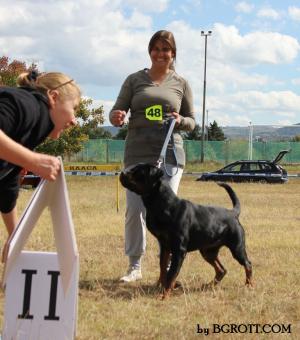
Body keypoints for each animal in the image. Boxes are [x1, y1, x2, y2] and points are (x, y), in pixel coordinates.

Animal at [120, 162, 253, 298]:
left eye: (138, 172)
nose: (122, 173)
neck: (164, 204)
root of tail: (233, 213)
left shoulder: (179, 250)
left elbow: (171, 273)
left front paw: (164, 295)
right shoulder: (165, 246)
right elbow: (163, 269)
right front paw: (160, 287)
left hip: (237, 247)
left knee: (248, 264)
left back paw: (249, 285)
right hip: (207, 251)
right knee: (222, 270)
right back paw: (208, 285)